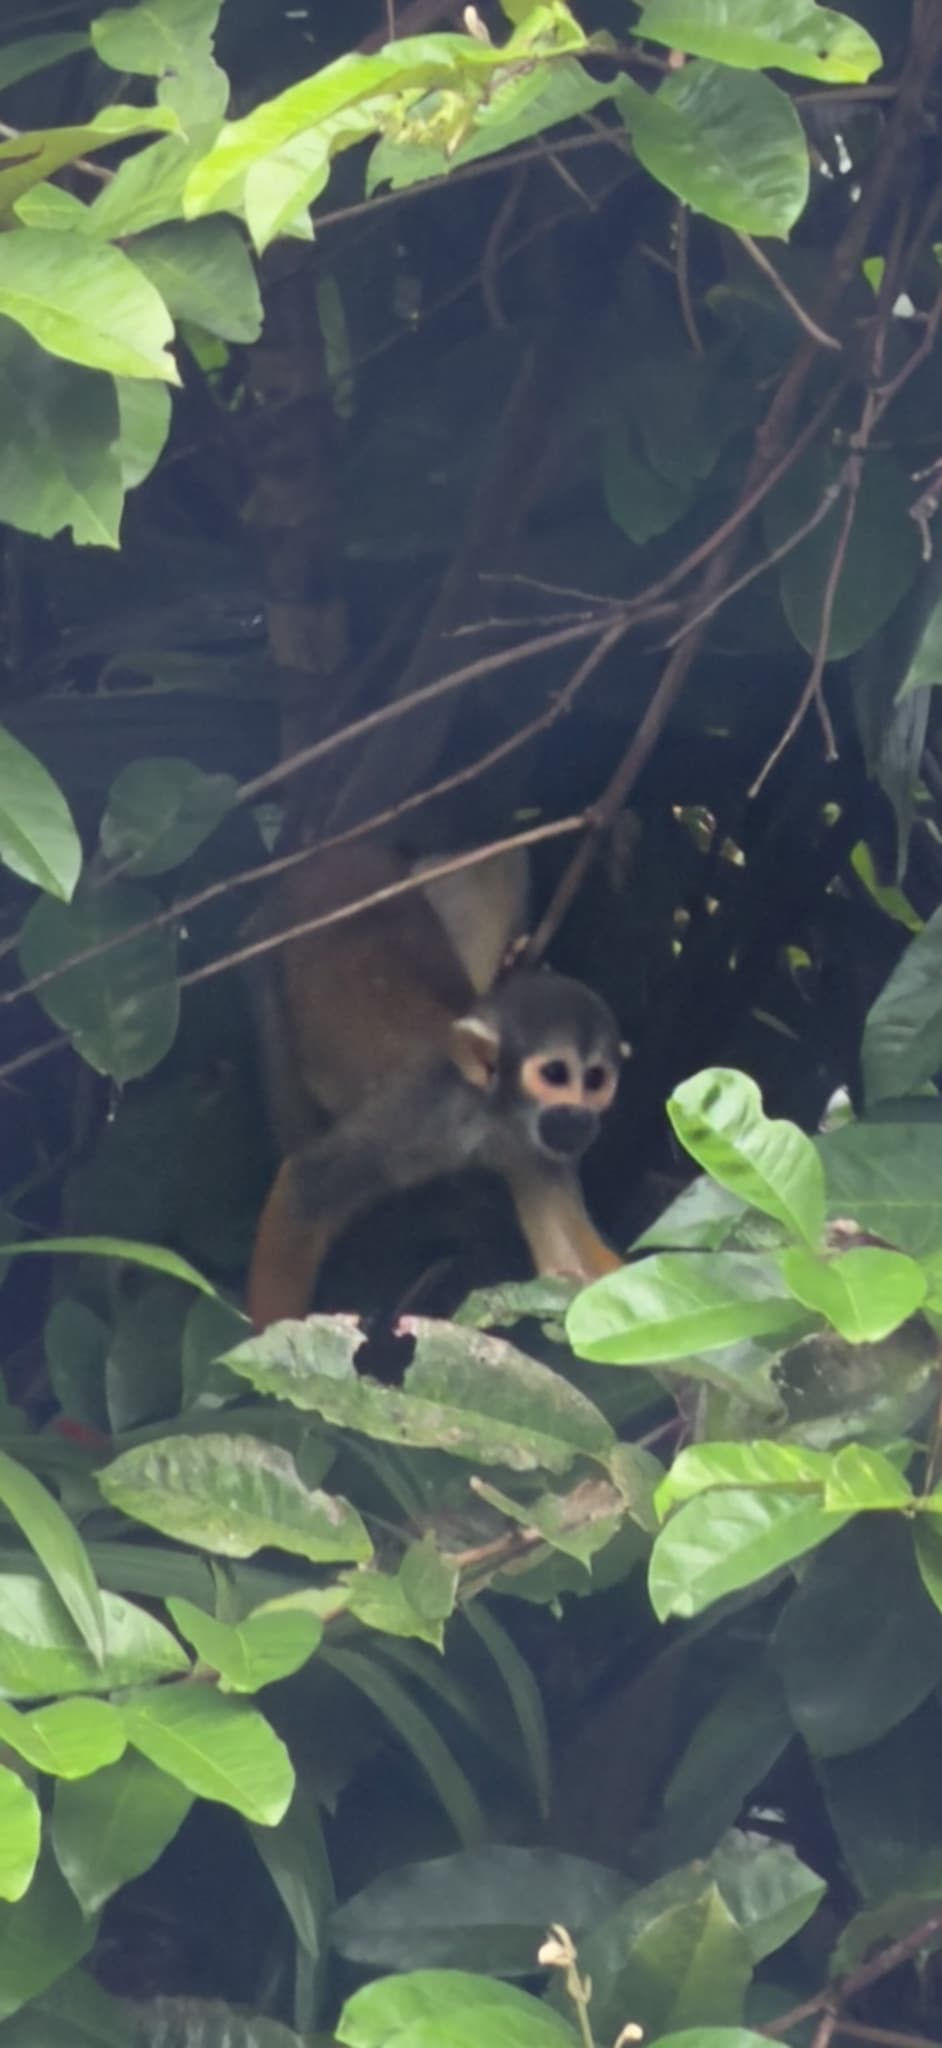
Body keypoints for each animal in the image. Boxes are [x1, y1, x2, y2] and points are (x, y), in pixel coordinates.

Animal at [246, 841, 622, 1330]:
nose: (580, 1117)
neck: (490, 1115)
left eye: (595, 1080)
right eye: (555, 1075)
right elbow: (305, 1185)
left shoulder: (536, 1152)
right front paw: (271, 1339)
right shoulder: (418, 1111)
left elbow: (573, 1272)